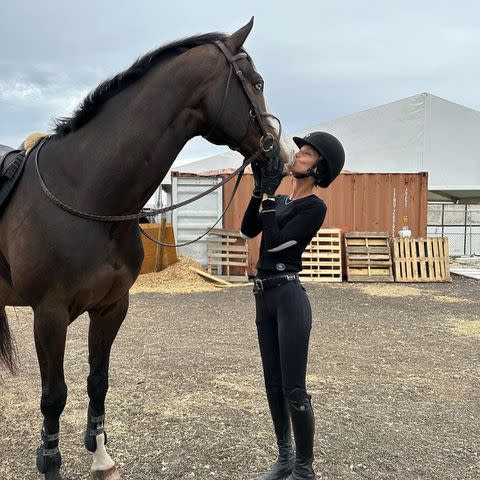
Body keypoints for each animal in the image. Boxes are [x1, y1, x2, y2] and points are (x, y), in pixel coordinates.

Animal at [0, 17, 292, 480]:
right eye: (258, 82)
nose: (280, 161)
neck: (86, 192)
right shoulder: (48, 315)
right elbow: (54, 395)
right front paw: (49, 461)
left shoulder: (111, 307)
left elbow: (97, 380)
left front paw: (101, 456)